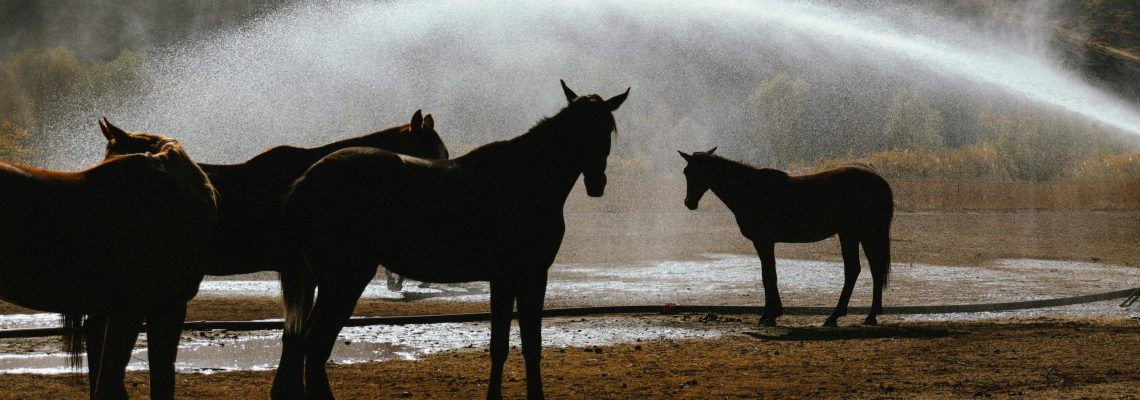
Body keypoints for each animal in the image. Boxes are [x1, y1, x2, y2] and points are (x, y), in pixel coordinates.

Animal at [271, 81, 628, 400]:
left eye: (606, 129)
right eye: (579, 129)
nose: (597, 182)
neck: (522, 177)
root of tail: (307, 178)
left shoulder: (507, 279)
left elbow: (506, 346)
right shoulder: (528, 275)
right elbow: (525, 345)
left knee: (303, 345)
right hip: (344, 279)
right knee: (314, 346)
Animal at [678, 148, 893, 327]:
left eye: (696, 172)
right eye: (687, 172)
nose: (689, 203)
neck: (750, 189)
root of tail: (879, 180)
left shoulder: (763, 241)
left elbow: (768, 276)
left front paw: (770, 316)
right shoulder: (765, 242)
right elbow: (768, 274)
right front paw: (771, 314)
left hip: (851, 234)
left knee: (853, 270)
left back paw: (834, 317)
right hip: (864, 235)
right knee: (874, 270)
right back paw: (871, 315)